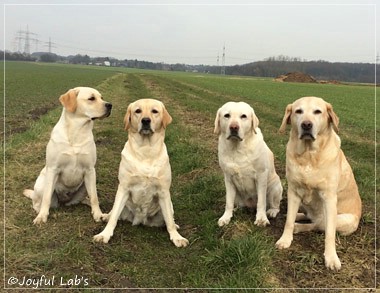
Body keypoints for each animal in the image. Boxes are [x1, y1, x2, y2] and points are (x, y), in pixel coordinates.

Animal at [23, 86, 112, 224]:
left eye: (101, 97)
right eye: (91, 98)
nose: (110, 105)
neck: (77, 131)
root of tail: (64, 201)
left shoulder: (90, 170)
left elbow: (94, 197)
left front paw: (98, 214)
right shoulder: (53, 169)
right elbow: (46, 198)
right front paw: (42, 217)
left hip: (87, 184)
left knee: (83, 199)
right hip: (42, 184)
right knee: (39, 202)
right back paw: (39, 211)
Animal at [93, 98, 189, 246]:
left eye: (155, 111)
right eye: (137, 111)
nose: (145, 120)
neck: (146, 150)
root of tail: (139, 219)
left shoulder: (163, 191)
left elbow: (169, 221)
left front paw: (177, 237)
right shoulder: (124, 188)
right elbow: (114, 217)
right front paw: (104, 235)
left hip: (168, 205)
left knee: (169, 218)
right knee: (113, 213)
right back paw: (106, 216)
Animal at [276, 96, 362, 270]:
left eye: (317, 111)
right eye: (298, 111)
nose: (306, 125)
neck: (309, 155)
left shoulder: (329, 198)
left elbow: (329, 233)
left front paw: (331, 258)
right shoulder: (293, 191)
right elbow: (288, 221)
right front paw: (285, 239)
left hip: (345, 220)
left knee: (318, 225)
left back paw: (300, 226)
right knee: (307, 217)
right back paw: (297, 217)